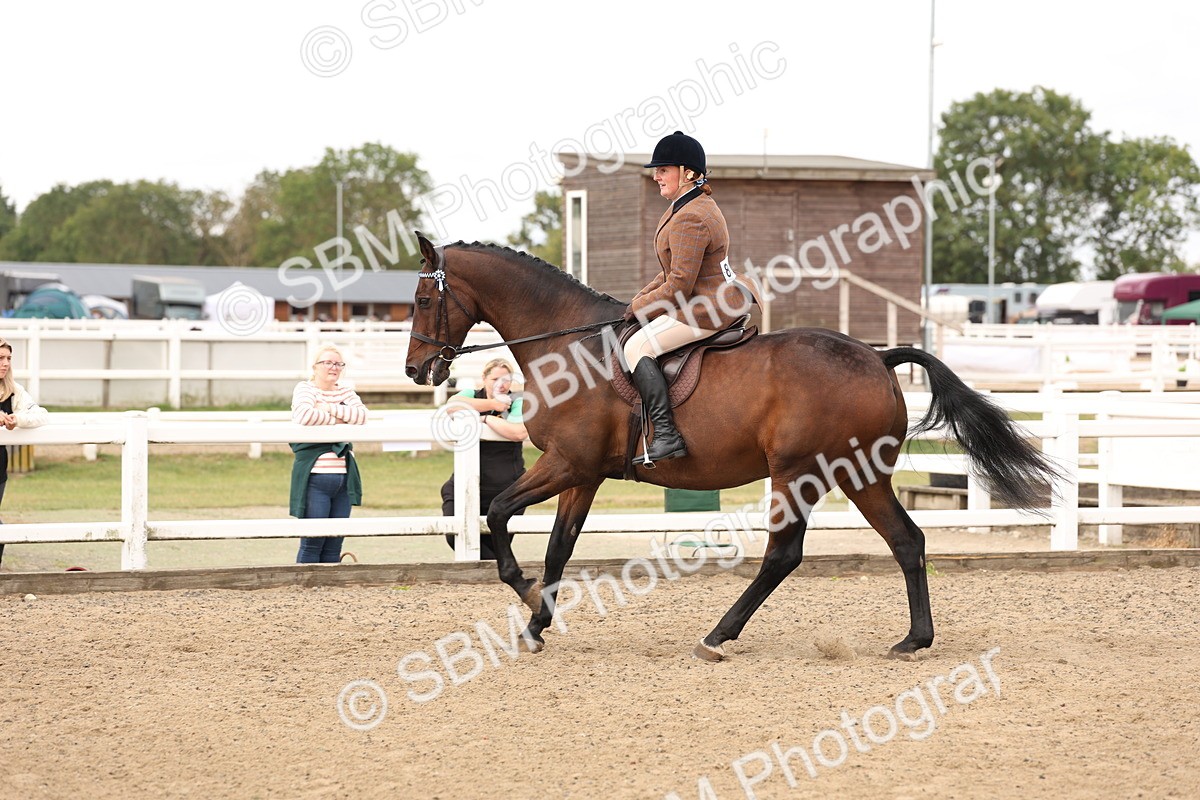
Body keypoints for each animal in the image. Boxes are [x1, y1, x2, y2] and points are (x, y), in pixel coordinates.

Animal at [404, 233, 1058, 661]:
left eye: (424, 300)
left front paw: (524, 591)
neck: (569, 346)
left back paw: (718, 636)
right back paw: (913, 640)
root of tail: (878, 357)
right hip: (858, 475)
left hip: (799, 473)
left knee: (784, 555)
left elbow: (496, 511)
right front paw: (538, 621)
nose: (416, 370)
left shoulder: (566, 463)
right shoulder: (582, 474)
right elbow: (558, 547)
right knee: (906, 540)